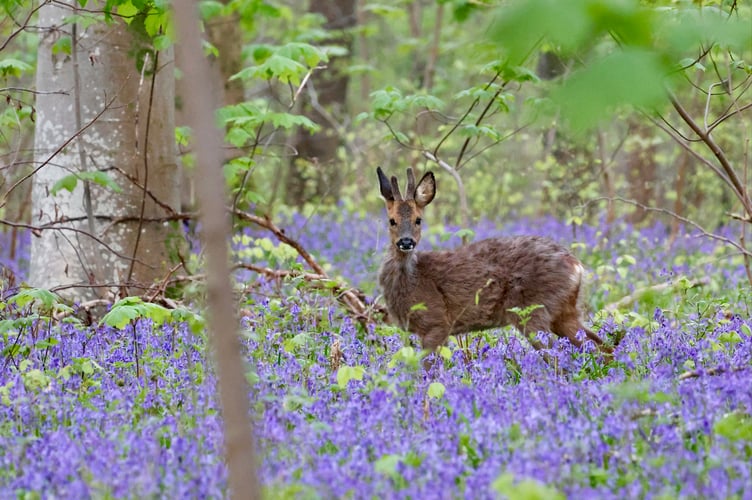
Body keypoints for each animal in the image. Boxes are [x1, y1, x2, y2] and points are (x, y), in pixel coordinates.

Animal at [376, 166, 612, 364]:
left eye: (418, 220)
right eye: (391, 220)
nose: (406, 242)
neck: (413, 279)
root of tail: (577, 266)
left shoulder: (436, 322)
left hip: (533, 310)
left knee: (558, 356)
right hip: (564, 311)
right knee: (602, 346)